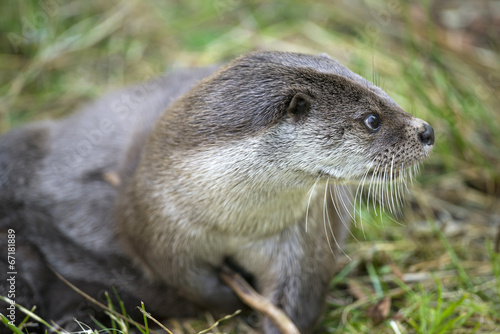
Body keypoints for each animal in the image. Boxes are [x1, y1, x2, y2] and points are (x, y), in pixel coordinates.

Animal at [0, 51, 434, 332]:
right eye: (372, 119)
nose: (427, 130)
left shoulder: (303, 237)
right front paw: (231, 304)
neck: (235, 222)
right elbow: (189, 281)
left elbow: (299, 299)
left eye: (384, 93)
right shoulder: (160, 226)